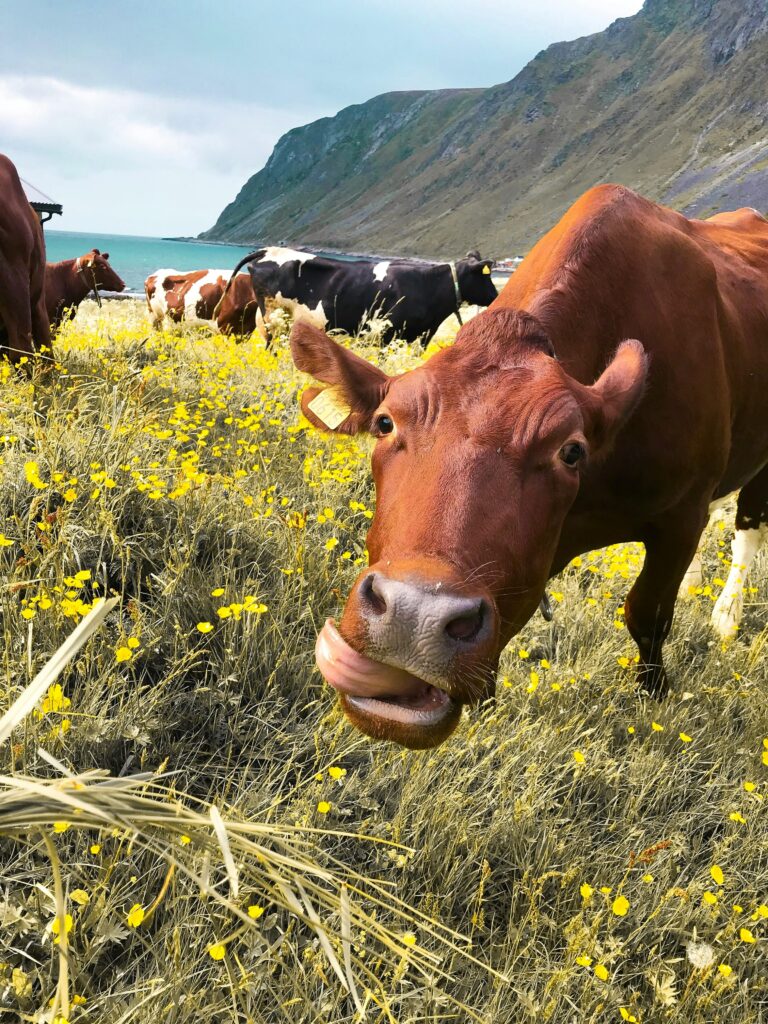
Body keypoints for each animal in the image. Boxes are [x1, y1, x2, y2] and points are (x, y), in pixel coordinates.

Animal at [220, 247, 498, 346]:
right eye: (486, 276)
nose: (496, 296)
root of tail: (266, 250)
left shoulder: (419, 338)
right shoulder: (389, 334)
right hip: (274, 319)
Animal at [290, 185, 768, 749]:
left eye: (571, 450)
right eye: (385, 423)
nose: (414, 616)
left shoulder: (678, 515)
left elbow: (648, 613)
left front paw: (655, 696)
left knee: (747, 528)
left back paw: (726, 618)